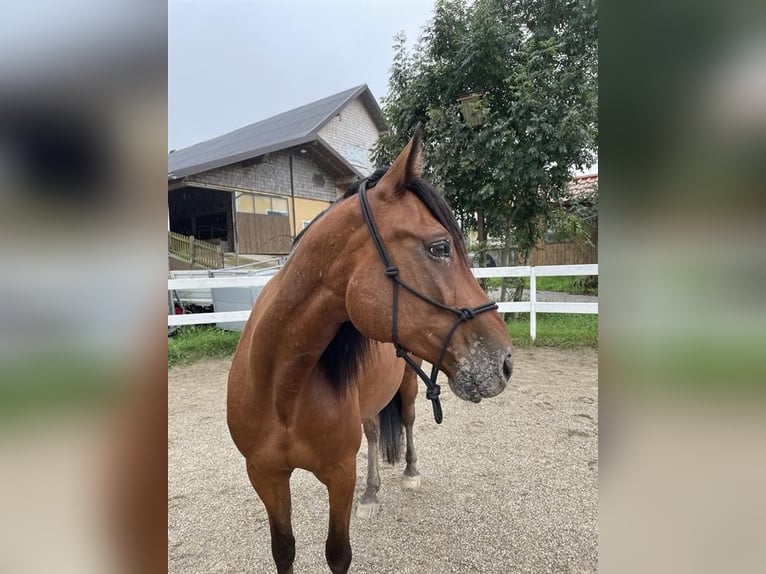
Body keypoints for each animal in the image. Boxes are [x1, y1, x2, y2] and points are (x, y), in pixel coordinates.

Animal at [226, 130, 514, 574]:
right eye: (440, 247)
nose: (505, 362)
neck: (280, 387)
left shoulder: (339, 474)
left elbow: (337, 553)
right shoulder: (265, 475)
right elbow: (284, 549)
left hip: (410, 385)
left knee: (408, 421)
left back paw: (410, 473)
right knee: (376, 433)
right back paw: (372, 492)